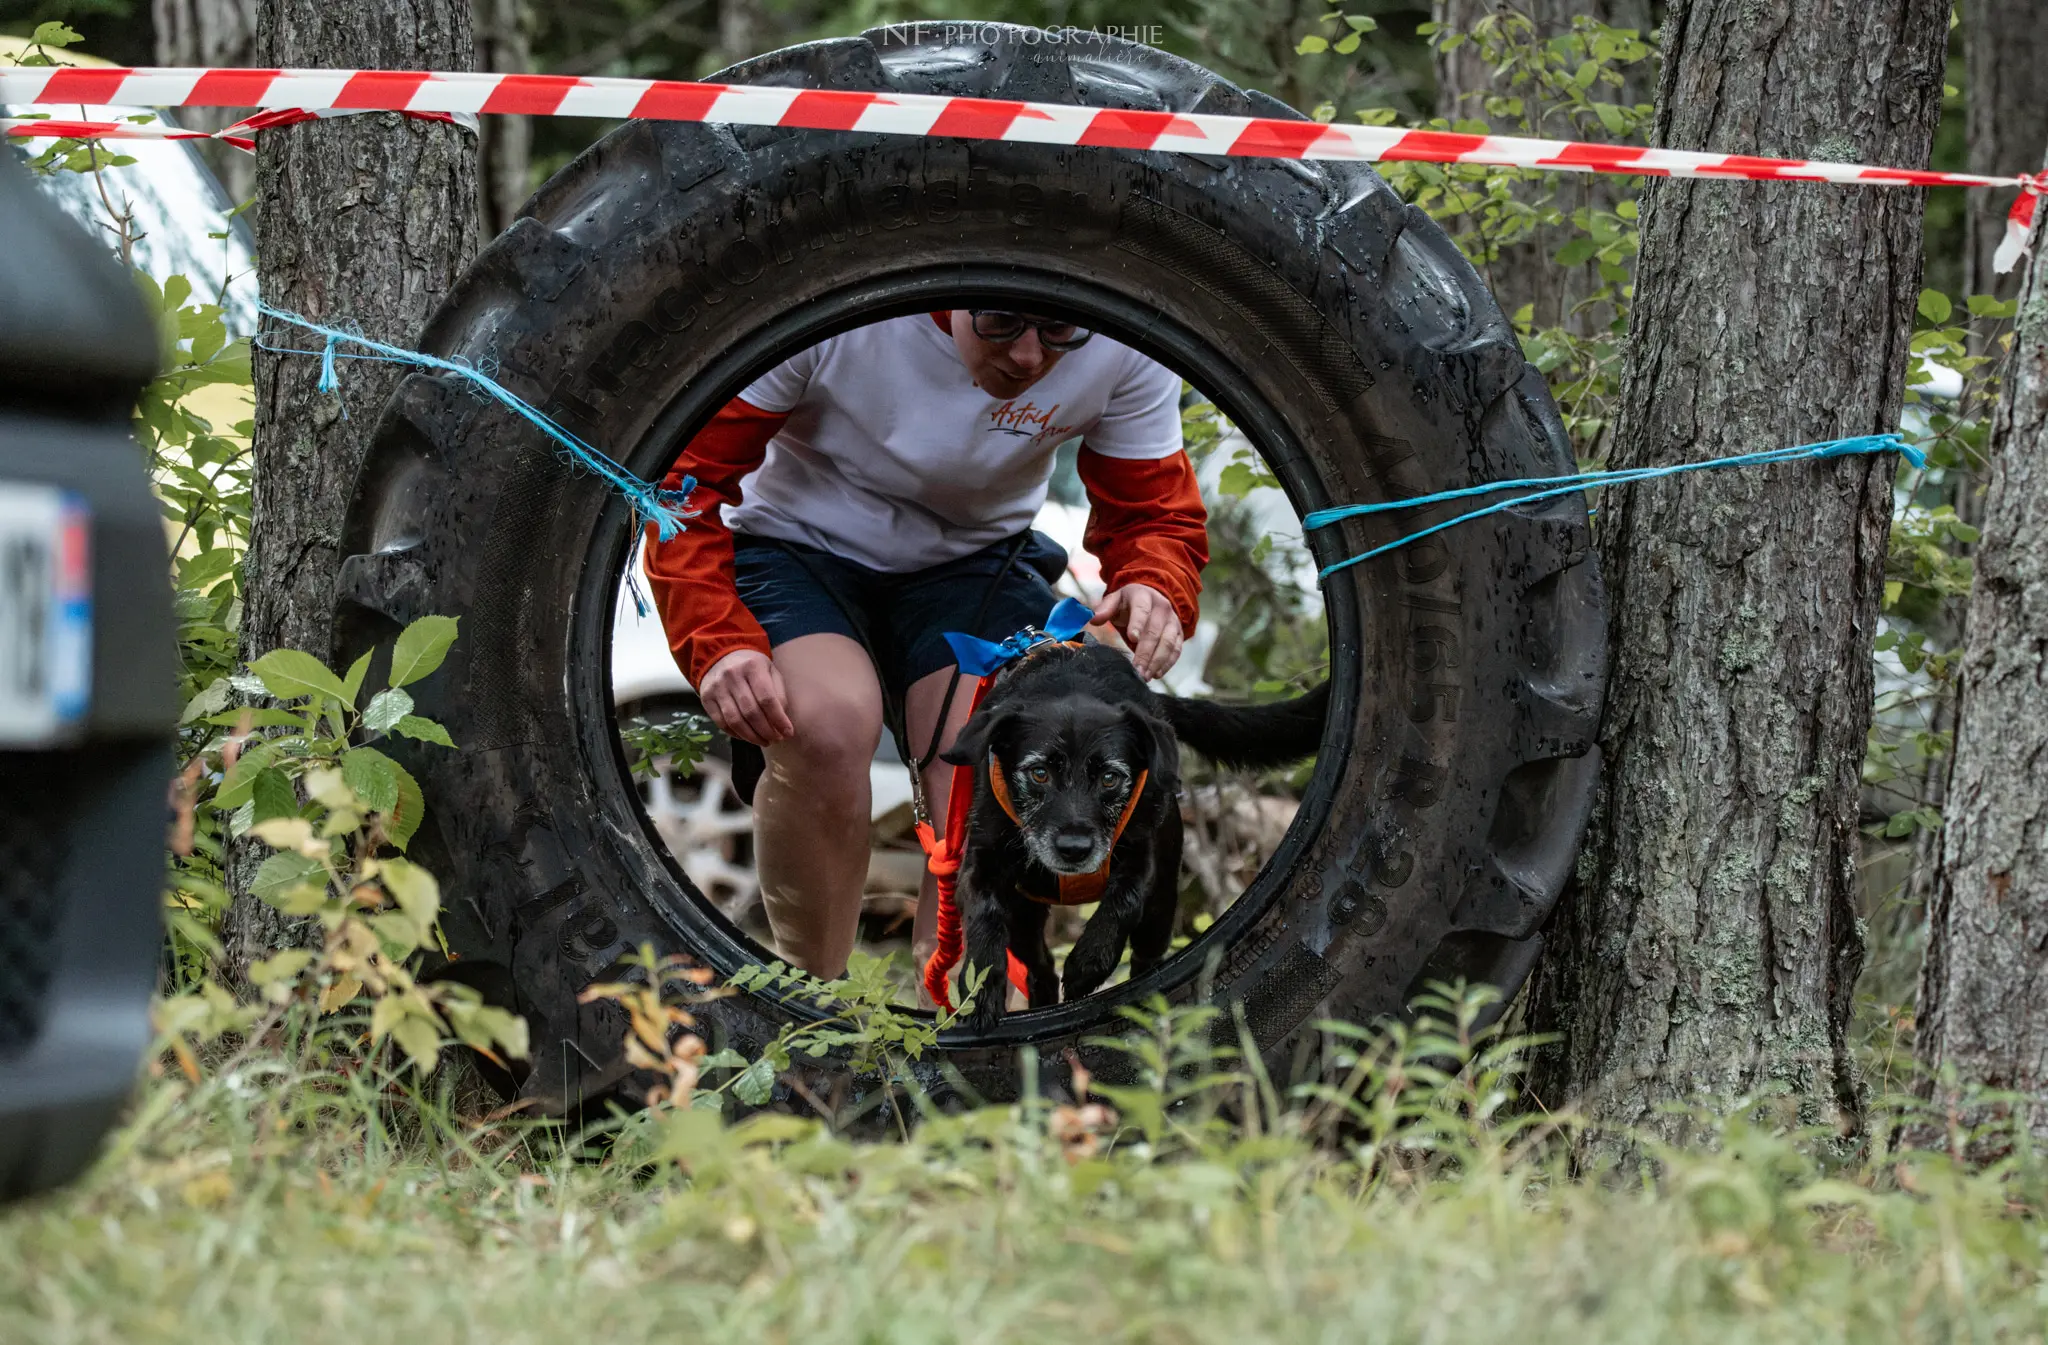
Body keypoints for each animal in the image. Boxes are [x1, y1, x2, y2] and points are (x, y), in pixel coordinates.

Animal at [942, 642, 1327, 1027]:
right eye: (1039, 773)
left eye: (1110, 778)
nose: (1074, 849)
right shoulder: (982, 865)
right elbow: (985, 915)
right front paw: (980, 989)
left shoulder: (1144, 857)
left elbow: (1124, 900)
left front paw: (1088, 963)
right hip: (1025, 915)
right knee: (1041, 968)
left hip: (1161, 905)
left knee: (1146, 957)